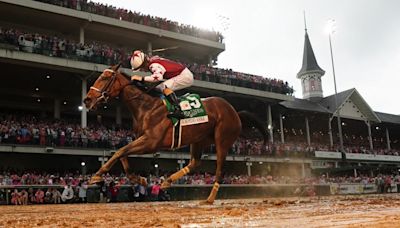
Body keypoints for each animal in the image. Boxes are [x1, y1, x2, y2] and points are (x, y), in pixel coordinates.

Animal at [83, 63, 268, 203]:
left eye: (104, 78)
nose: (87, 99)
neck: (146, 107)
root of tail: (235, 112)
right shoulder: (141, 140)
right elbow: (122, 154)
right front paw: (140, 179)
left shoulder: (151, 142)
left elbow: (119, 151)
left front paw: (96, 176)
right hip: (199, 139)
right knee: (195, 162)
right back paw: (167, 181)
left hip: (222, 140)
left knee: (220, 171)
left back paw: (209, 199)